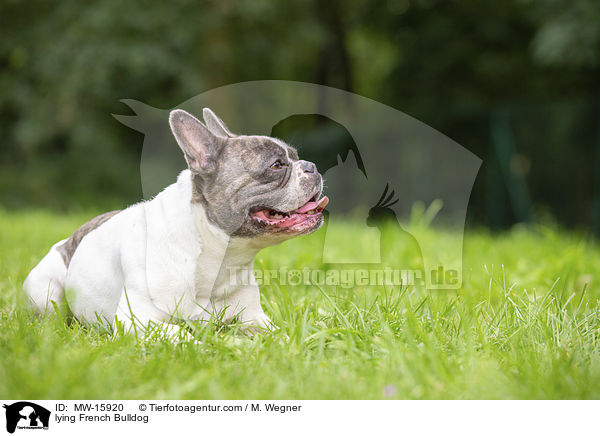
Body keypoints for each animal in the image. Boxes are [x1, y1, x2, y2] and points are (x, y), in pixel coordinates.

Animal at [23, 108, 328, 334]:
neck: (218, 255)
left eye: (296, 157)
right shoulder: (139, 320)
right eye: (276, 165)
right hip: (47, 293)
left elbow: (278, 336)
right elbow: (181, 334)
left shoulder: (255, 319)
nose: (312, 166)